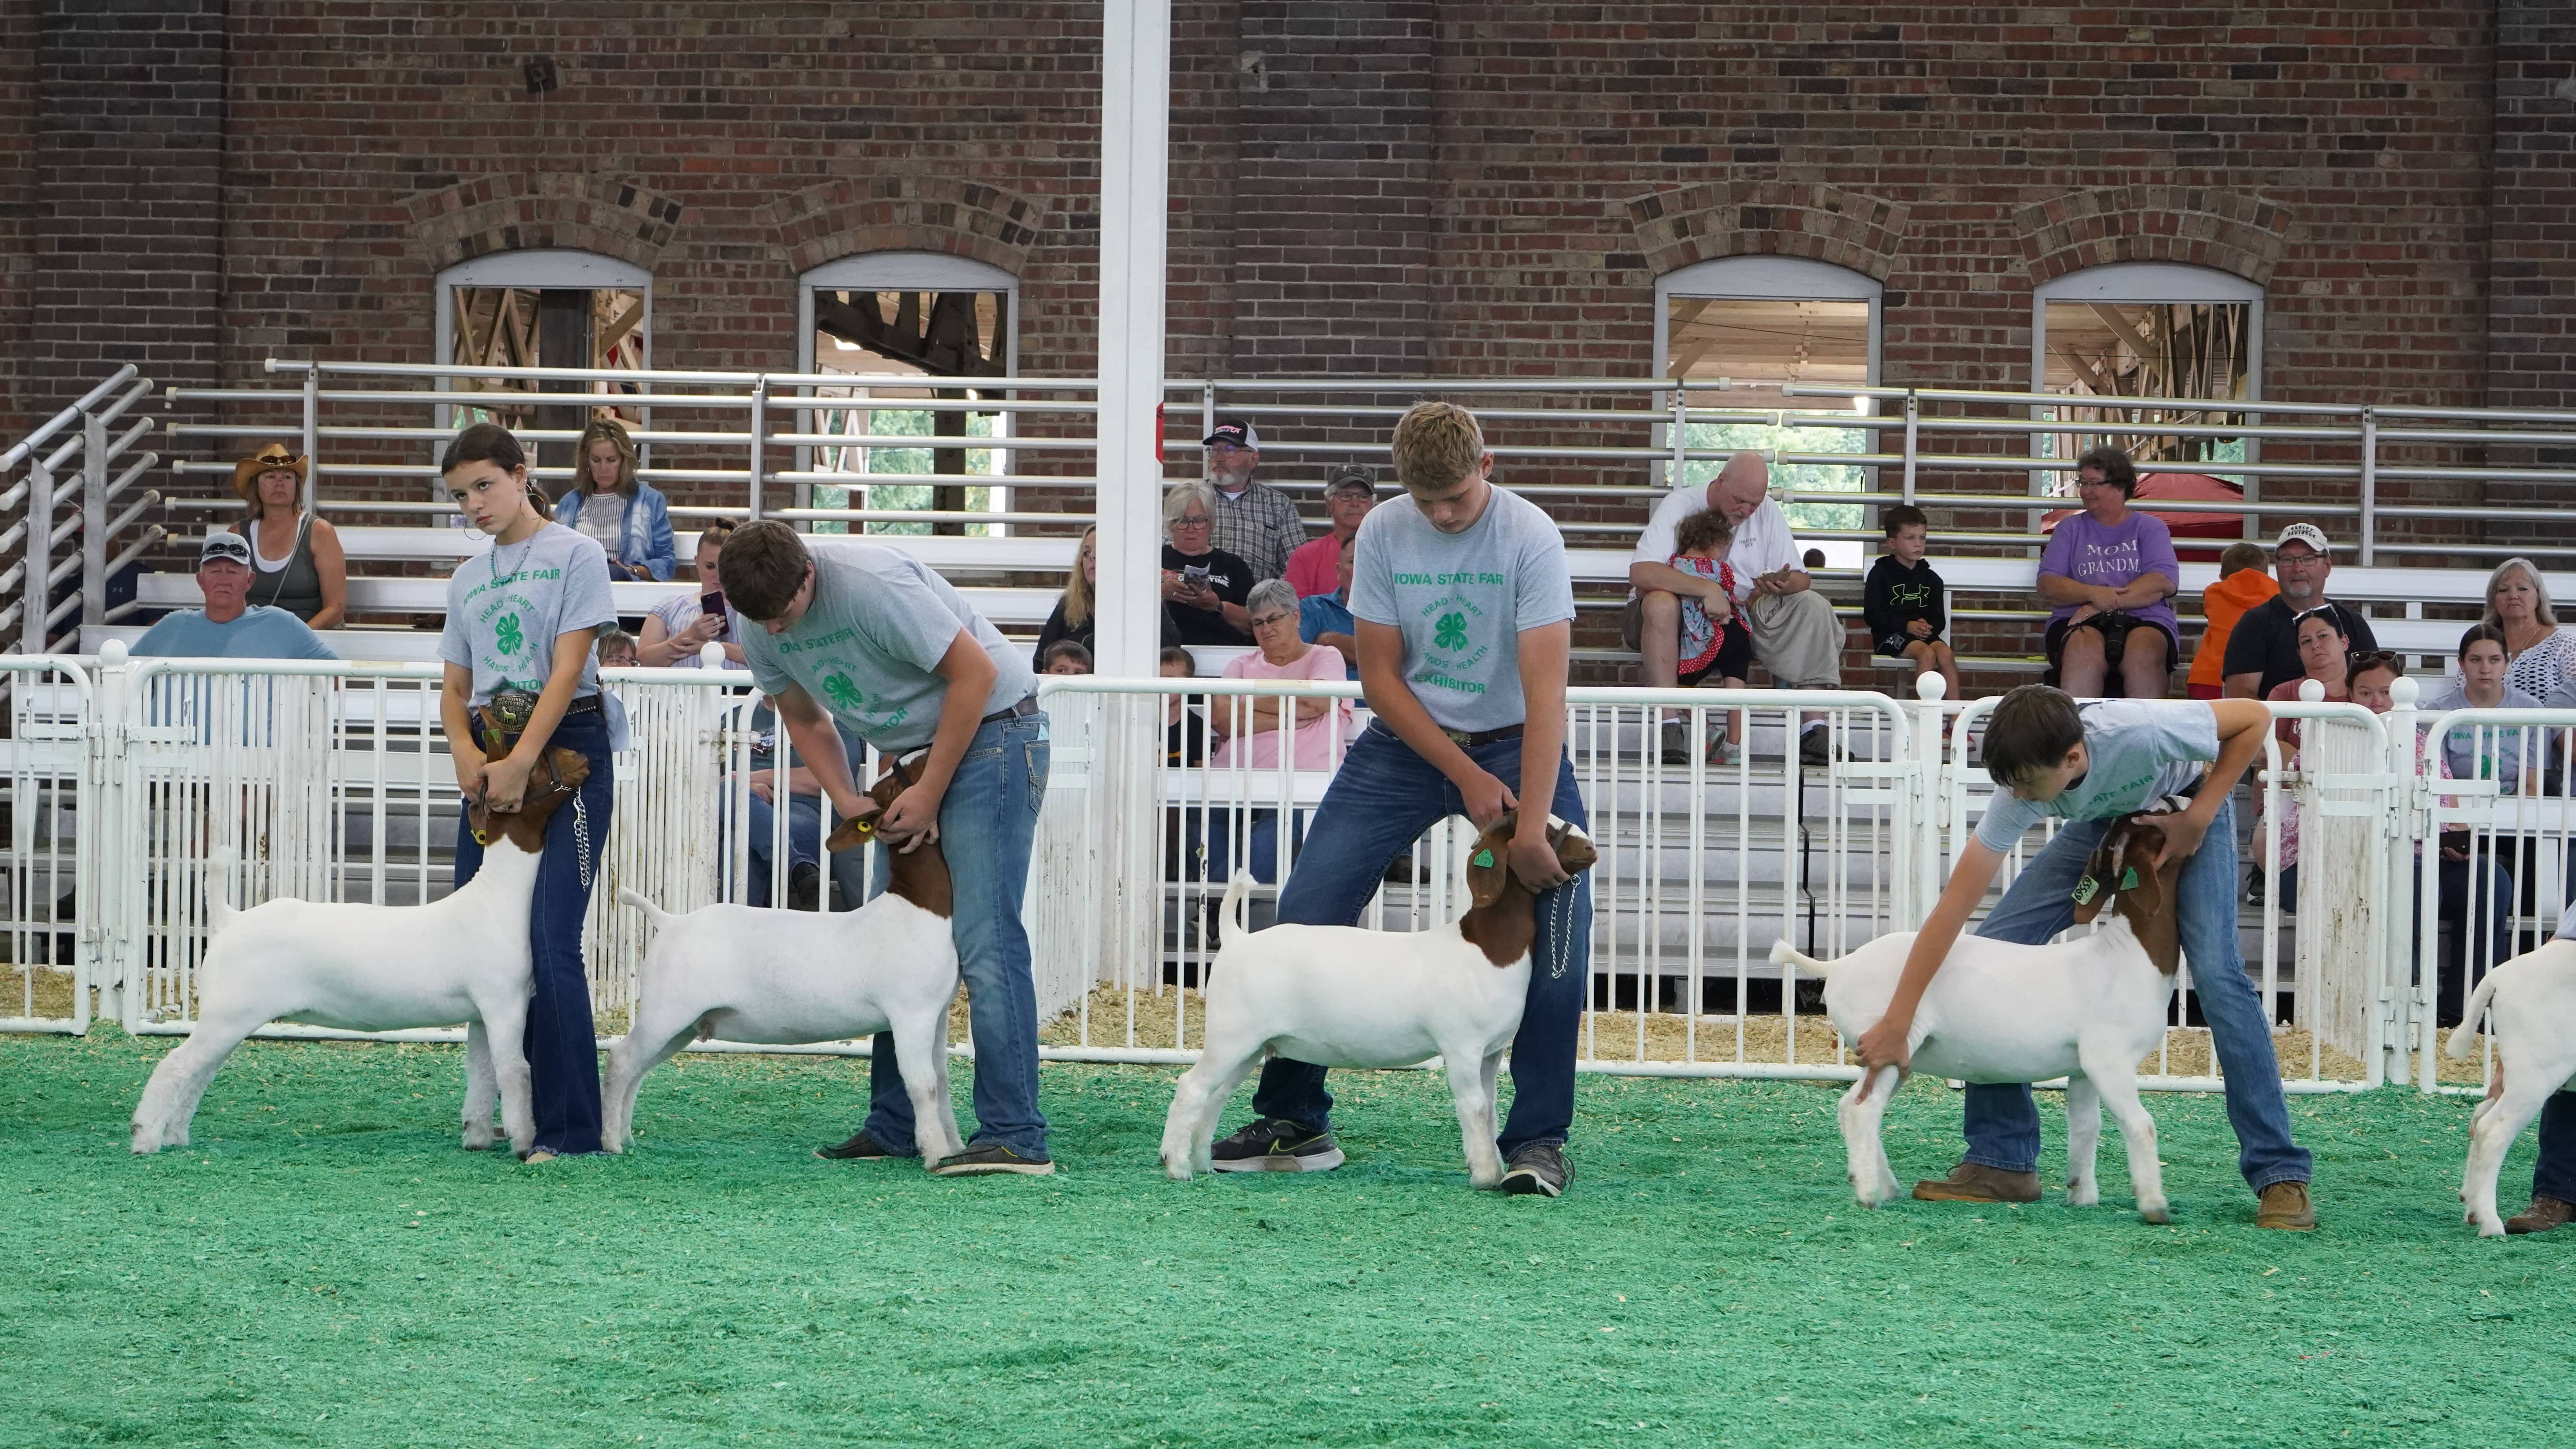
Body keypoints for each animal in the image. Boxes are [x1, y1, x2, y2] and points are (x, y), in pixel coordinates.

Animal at [134, 741, 592, 1163]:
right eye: (538, 763)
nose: (583, 757)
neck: (496, 896)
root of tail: (230, 920)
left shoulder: (481, 1014)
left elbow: (483, 1074)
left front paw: (477, 1136)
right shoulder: (504, 1004)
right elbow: (516, 1072)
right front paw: (524, 1142)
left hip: (230, 1019)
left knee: (197, 1075)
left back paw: (176, 1136)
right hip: (228, 1015)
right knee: (173, 1067)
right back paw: (145, 1139)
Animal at [603, 767, 969, 1163]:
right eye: (902, 781)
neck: (915, 909)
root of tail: (670, 921)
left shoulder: (936, 1015)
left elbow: (942, 1081)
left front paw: (956, 1148)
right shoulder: (911, 1015)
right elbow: (923, 1085)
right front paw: (936, 1155)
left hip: (683, 1024)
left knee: (639, 1069)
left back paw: (626, 1137)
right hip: (667, 1009)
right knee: (622, 1060)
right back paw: (610, 1141)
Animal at [1164, 818, 1587, 1189]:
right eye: (1545, 829)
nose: (1590, 847)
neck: (1487, 948)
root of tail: (1238, 939)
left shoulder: (1491, 1053)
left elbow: (1491, 1111)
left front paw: (1495, 1168)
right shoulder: (1462, 1048)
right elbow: (1475, 1108)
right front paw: (1485, 1176)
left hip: (1252, 1046)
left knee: (1216, 1095)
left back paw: (1202, 1162)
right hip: (1231, 1034)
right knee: (1191, 1088)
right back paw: (1177, 1166)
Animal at [1772, 818, 2195, 1225]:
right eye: (2156, 829)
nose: (2183, 802)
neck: (2126, 955)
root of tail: (1839, 965)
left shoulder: (2082, 1069)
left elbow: (2085, 1128)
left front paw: (2083, 1195)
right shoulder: (2109, 1060)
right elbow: (2140, 1124)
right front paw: (2155, 1206)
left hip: (1887, 1055)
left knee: (1851, 1105)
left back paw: (1886, 1186)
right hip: (1889, 1041)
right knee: (1863, 1111)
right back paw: (1868, 1195)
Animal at [2432, 942, 2576, 1235]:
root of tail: (2496, 978)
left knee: (2480, 1117)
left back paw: (2472, 1205)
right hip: (2536, 1073)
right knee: (2493, 1132)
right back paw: (2490, 1223)